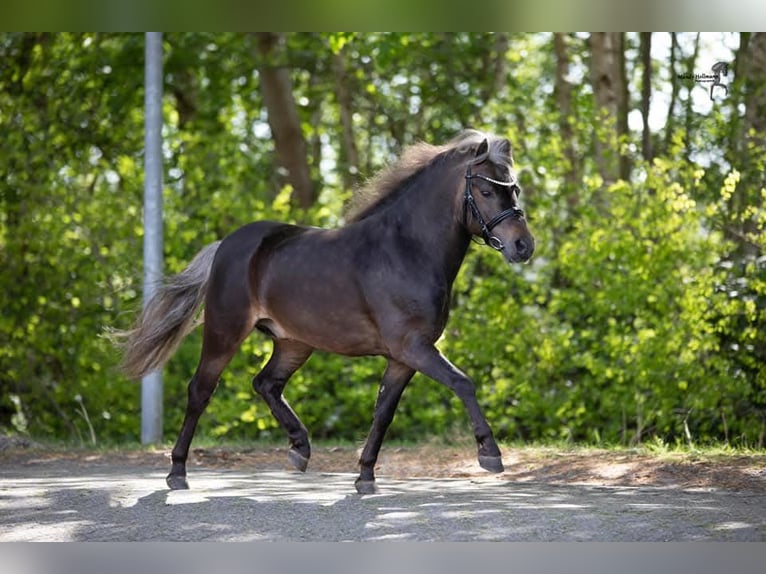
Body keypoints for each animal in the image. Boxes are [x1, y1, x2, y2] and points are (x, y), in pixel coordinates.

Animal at [118, 129, 535, 494]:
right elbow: (462, 382)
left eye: (513, 189)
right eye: (486, 190)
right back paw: (177, 471)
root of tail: (226, 246)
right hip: (225, 332)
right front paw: (490, 454)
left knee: (266, 383)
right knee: (201, 391)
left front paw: (365, 476)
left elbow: (383, 411)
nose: (523, 246)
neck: (406, 250)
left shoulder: (403, 357)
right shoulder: (413, 346)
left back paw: (300, 449)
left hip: (293, 343)